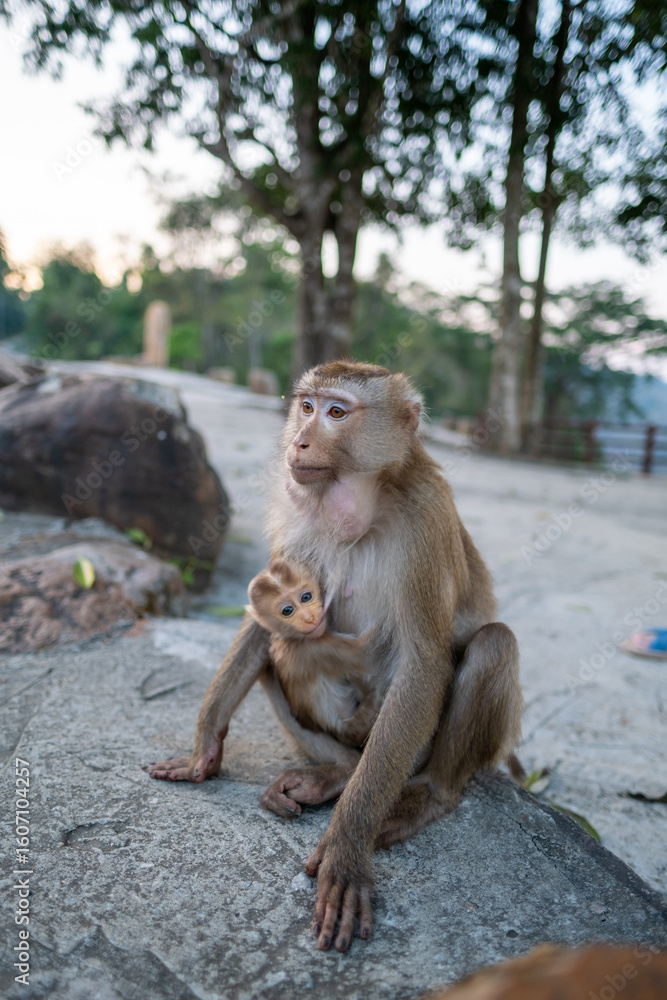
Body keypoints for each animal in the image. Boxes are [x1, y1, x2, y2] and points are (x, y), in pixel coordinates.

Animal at [247, 558, 378, 745]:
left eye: (306, 597)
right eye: (287, 610)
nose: (309, 618)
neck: (292, 639)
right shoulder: (315, 649)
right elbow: (365, 655)